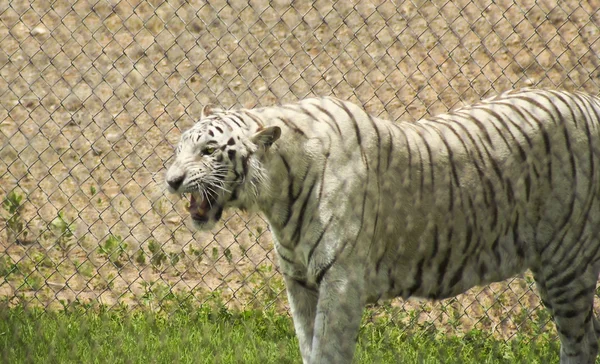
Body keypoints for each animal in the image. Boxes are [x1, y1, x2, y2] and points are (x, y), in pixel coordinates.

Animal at [166, 89, 600, 364]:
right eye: (180, 148)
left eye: (208, 150)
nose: (170, 180)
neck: (276, 195)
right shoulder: (300, 283)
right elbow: (308, 347)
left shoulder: (340, 282)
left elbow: (328, 352)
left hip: (569, 265)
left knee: (579, 342)